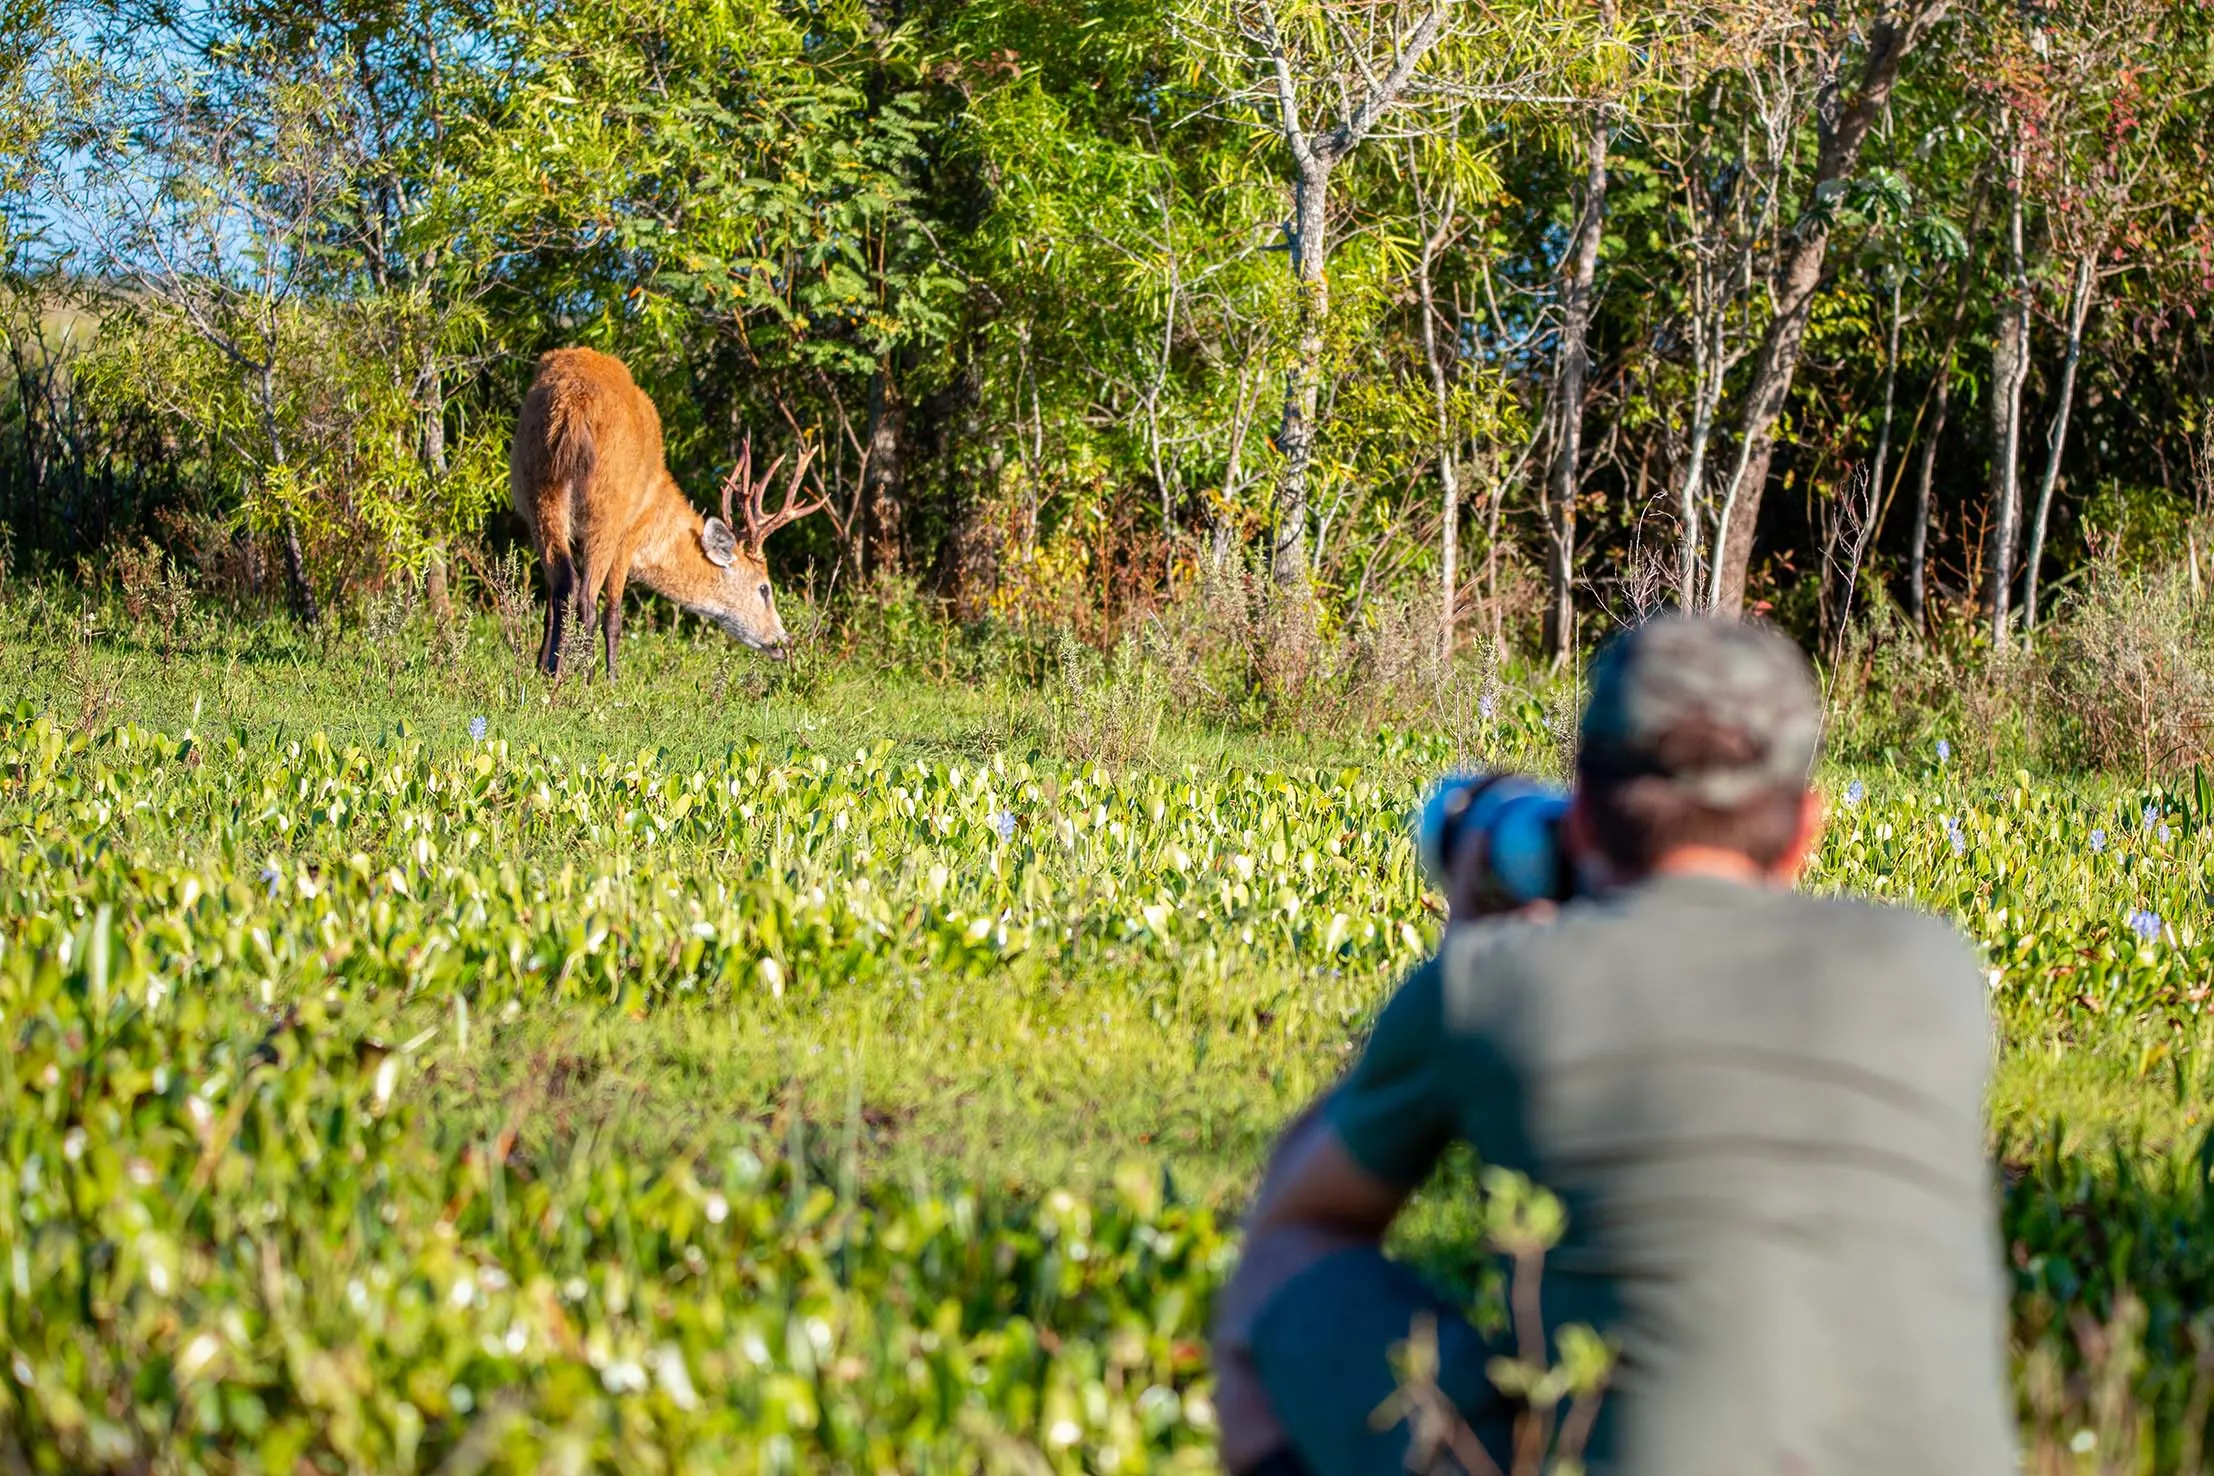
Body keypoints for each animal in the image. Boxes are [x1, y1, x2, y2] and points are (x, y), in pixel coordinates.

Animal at [507, 351, 828, 681]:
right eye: (764, 588)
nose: (783, 641)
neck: (656, 508)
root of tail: (574, 404)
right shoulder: (630, 531)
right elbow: (614, 614)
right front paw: (611, 679)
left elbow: (551, 604)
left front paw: (543, 669)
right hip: (607, 507)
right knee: (585, 597)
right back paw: (586, 677)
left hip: (537, 490)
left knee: (563, 586)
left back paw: (554, 672)